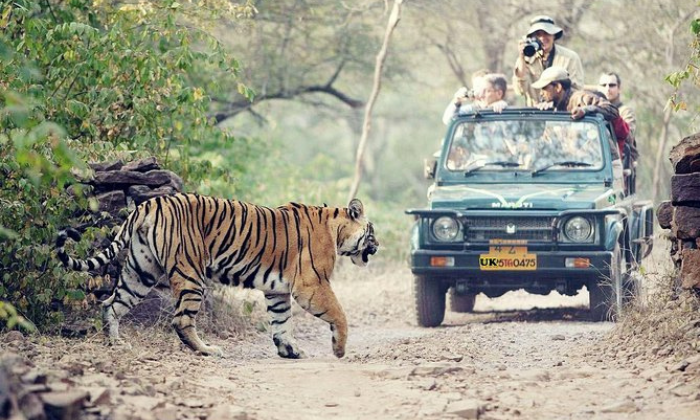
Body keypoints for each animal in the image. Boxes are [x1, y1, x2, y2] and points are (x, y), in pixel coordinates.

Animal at [56, 193, 378, 358]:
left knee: (111, 304)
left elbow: (281, 321)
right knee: (181, 320)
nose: (378, 246)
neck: (336, 231)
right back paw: (208, 350)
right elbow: (339, 314)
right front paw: (339, 350)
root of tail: (148, 204)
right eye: (372, 231)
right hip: (190, 275)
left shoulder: (278, 289)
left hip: (140, 272)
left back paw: (116, 343)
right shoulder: (312, 284)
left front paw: (289, 350)